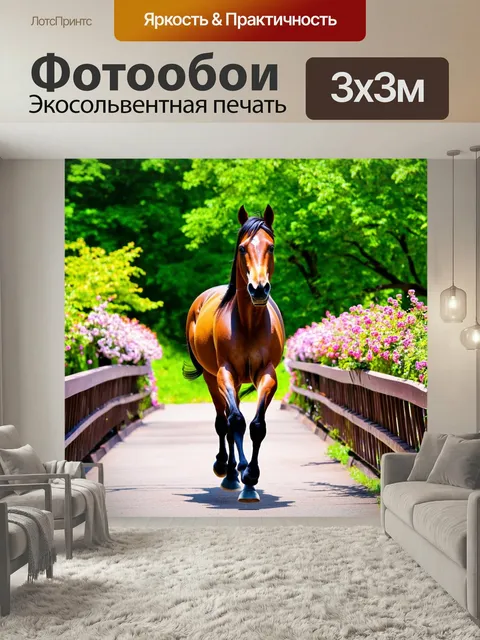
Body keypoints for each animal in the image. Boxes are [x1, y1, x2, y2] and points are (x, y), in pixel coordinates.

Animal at [184, 205, 285, 503]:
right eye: (242, 248)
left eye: (271, 247)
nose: (259, 289)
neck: (249, 324)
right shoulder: (224, 374)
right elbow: (235, 422)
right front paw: (242, 474)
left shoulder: (267, 376)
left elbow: (256, 426)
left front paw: (251, 477)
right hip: (211, 378)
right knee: (224, 421)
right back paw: (227, 471)